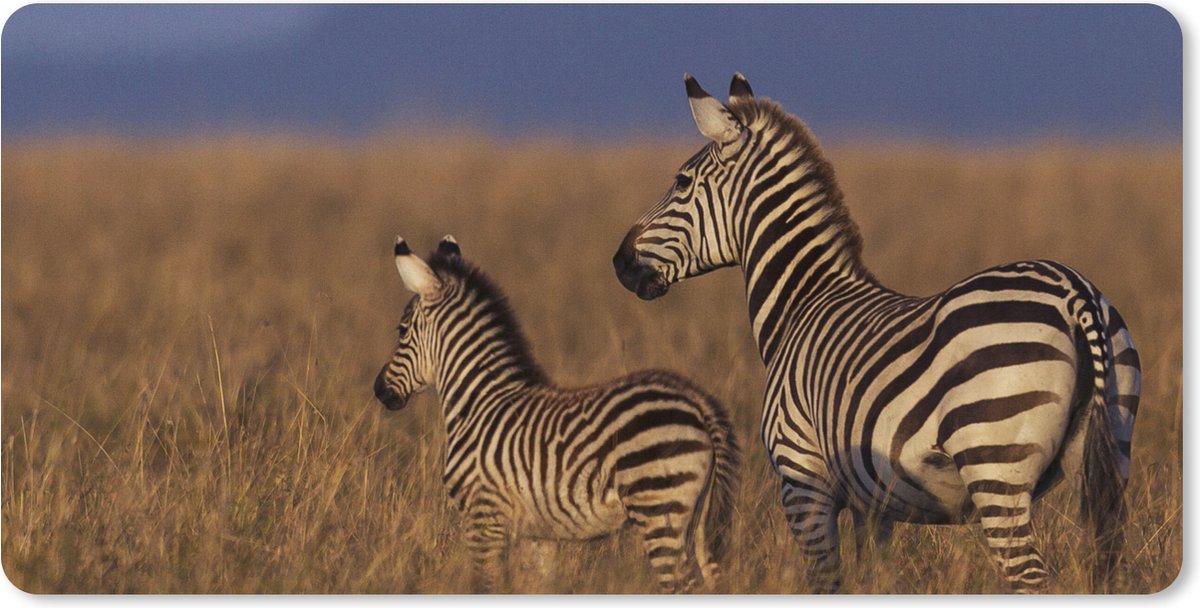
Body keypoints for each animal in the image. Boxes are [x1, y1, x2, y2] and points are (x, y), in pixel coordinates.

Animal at [374, 235, 740, 593]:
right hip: (696, 518)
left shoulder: (484, 514)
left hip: (659, 509)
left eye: (401, 330)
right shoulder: (538, 534)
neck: (479, 401)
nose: (380, 390)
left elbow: (486, 584)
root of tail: (697, 402)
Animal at [612, 73, 1140, 593]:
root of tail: (1073, 292)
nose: (620, 262)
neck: (802, 303)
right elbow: (875, 580)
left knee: (1030, 577)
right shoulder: (874, 503)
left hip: (995, 467)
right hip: (1108, 450)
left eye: (681, 183)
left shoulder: (802, 481)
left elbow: (826, 581)